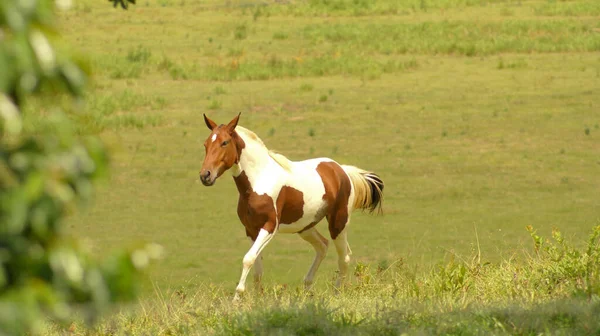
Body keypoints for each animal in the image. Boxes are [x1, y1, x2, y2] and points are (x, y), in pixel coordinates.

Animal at [199, 113, 382, 300]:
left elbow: (248, 258)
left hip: (338, 223)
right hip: (305, 227)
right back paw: (308, 290)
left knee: (344, 257)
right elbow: (257, 268)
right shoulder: (251, 230)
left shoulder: (269, 227)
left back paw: (336, 294)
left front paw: (237, 298)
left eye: (224, 142)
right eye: (206, 144)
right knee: (322, 246)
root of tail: (342, 171)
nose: (205, 176)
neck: (259, 180)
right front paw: (256, 300)